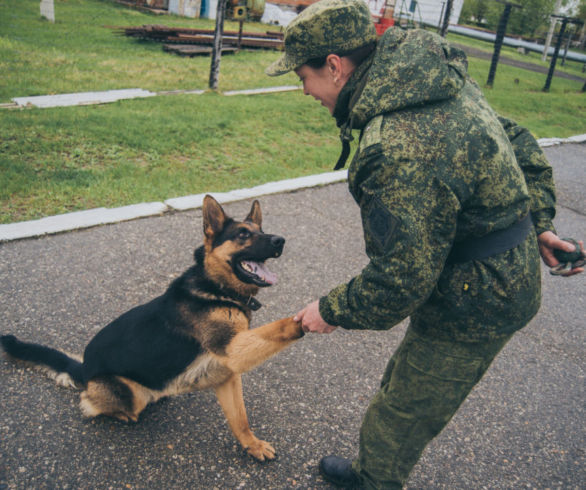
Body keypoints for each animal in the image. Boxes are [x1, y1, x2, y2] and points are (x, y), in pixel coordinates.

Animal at [0, 194, 302, 460]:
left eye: (260, 230)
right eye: (242, 235)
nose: (281, 240)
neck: (217, 289)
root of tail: (84, 368)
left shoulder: (228, 373)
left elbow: (240, 418)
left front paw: (252, 445)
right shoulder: (234, 348)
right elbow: (277, 328)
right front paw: (302, 319)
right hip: (126, 394)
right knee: (89, 401)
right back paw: (121, 412)